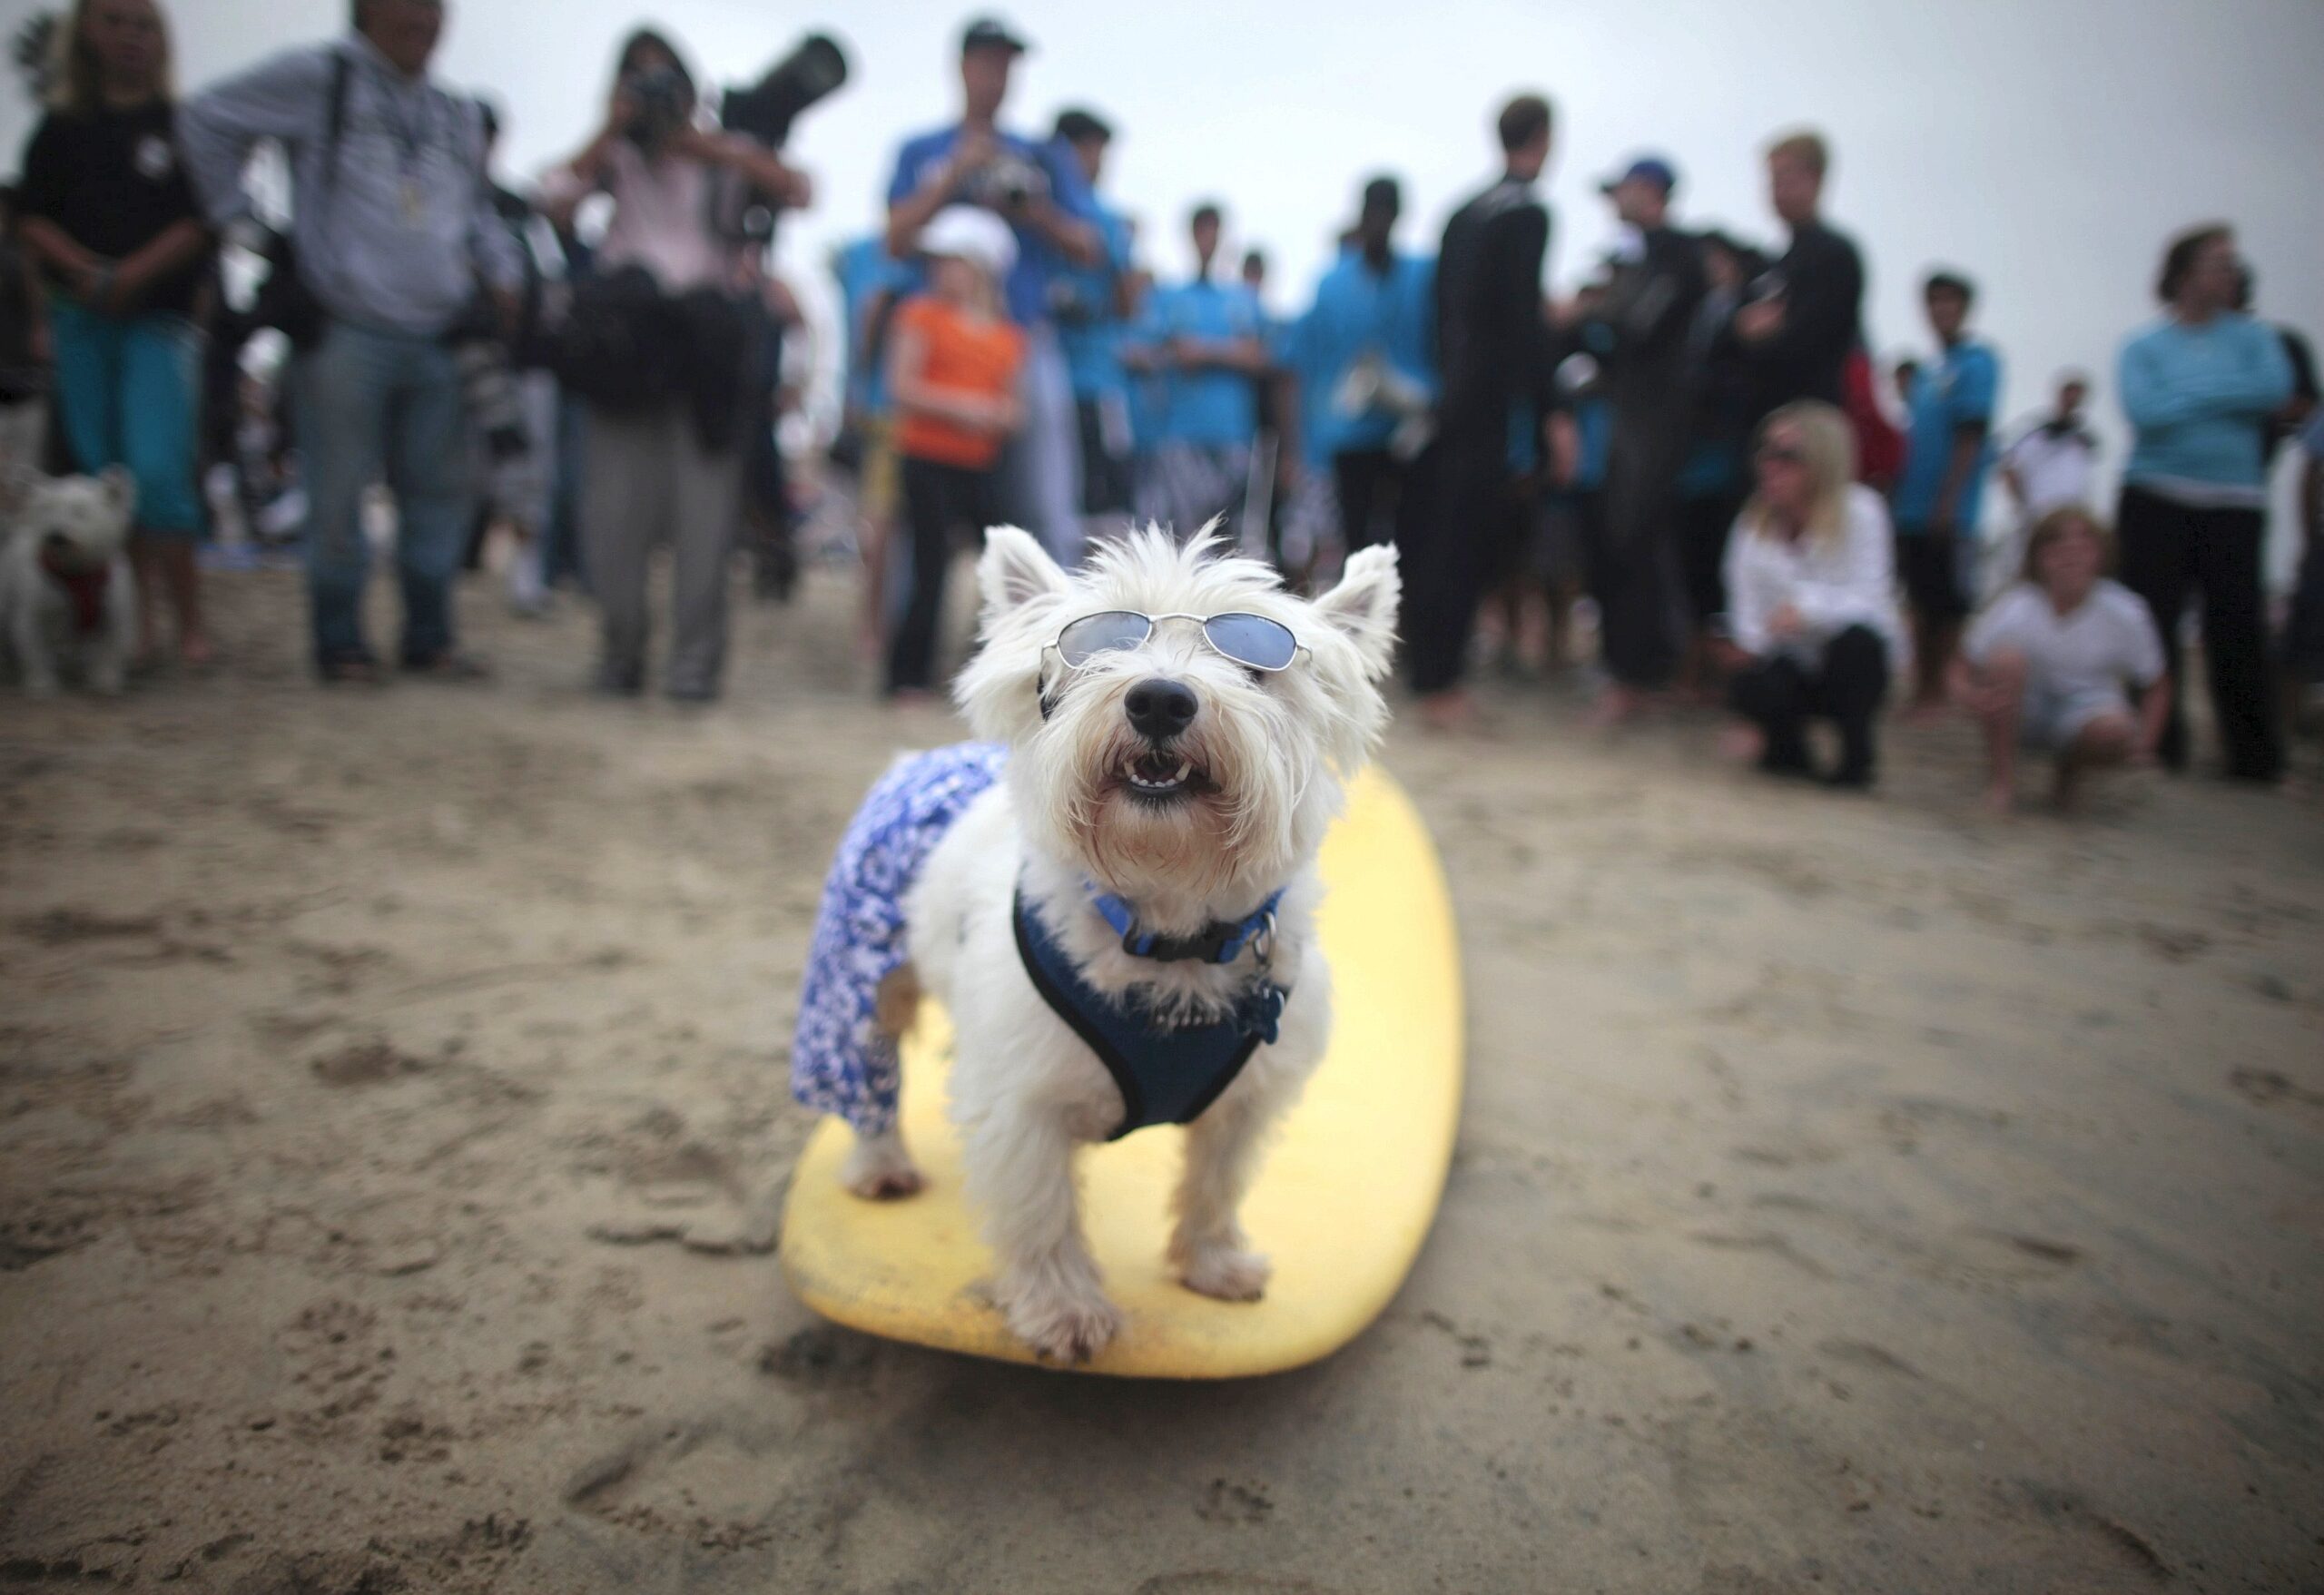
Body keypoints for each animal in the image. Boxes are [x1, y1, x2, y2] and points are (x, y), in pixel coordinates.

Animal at [0, 465, 135, 697]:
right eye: (48, 509)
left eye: (80, 512)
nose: (56, 536)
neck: (75, 573)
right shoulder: (36, 609)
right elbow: (34, 643)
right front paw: (42, 684)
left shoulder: (111, 609)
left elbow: (110, 645)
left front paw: (105, 681)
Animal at [794, 525, 1394, 1357]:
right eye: (1099, 646)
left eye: (1255, 661)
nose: (1160, 698)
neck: (1169, 932)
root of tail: (919, 761)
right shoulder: (1024, 1104)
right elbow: (1043, 1211)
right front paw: (1066, 1313)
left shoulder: (1249, 1099)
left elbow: (1217, 1181)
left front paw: (1214, 1265)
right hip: (860, 970)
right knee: (868, 1067)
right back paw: (881, 1164)